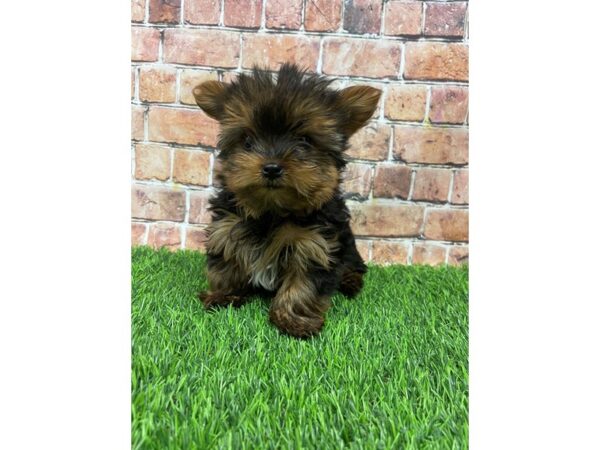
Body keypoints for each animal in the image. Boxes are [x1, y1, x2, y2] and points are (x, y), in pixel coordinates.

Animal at [195, 63, 382, 338]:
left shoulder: (314, 243)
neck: (273, 212)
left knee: (353, 265)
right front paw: (224, 296)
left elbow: (303, 285)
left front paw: (294, 321)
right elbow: (226, 263)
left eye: (304, 141)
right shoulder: (226, 226)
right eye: (248, 141)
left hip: (348, 245)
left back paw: (350, 282)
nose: (271, 168)